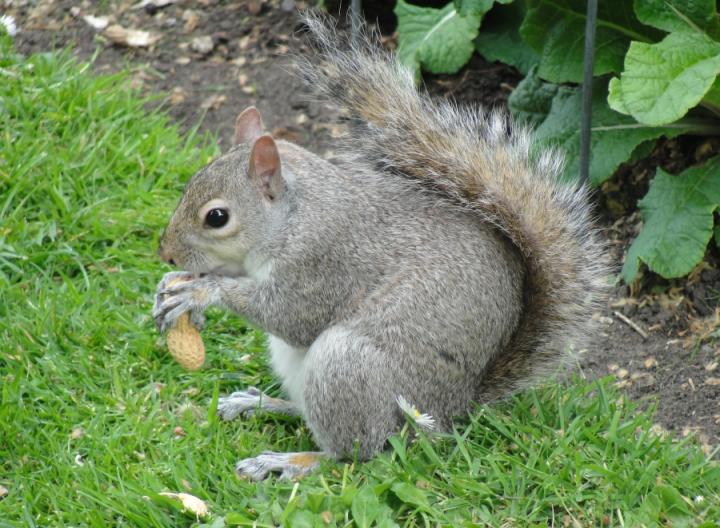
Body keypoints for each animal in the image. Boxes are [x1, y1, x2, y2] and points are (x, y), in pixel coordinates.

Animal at [153, 14, 608, 480]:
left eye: (217, 217)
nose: (165, 252)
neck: (294, 216)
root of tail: (453, 411)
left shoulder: (323, 261)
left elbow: (289, 314)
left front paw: (200, 291)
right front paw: (172, 284)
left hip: (346, 366)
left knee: (356, 452)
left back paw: (291, 462)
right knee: (312, 415)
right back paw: (260, 403)